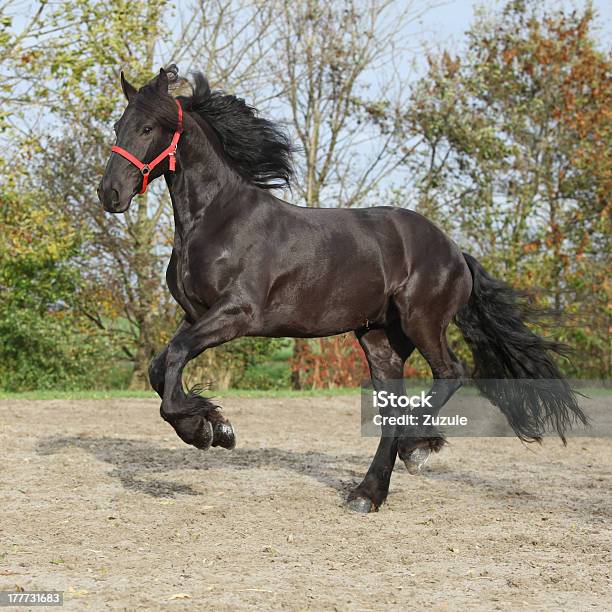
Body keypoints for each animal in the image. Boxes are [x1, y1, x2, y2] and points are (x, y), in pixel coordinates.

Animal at [98, 67, 584, 512]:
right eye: (119, 125)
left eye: (148, 128)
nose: (110, 193)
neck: (217, 219)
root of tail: (455, 251)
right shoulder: (196, 315)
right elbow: (159, 368)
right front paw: (215, 426)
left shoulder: (236, 314)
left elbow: (175, 361)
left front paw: (204, 430)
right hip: (380, 339)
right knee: (392, 409)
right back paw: (367, 494)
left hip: (422, 321)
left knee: (451, 373)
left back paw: (417, 448)